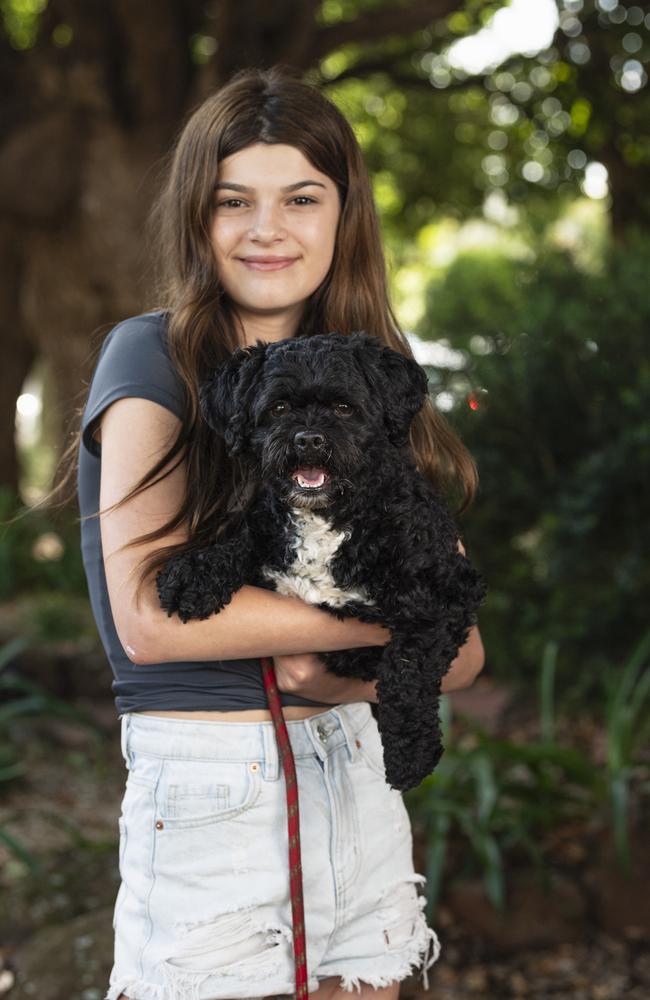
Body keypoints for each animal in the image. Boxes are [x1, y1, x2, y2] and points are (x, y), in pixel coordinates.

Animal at [154, 332, 484, 792]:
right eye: (278, 408)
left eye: (344, 407)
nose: (308, 439)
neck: (328, 517)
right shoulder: (268, 530)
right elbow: (241, 540)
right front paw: (194, 576)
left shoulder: (446, 597)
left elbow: (406, 674)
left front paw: (411, 755)